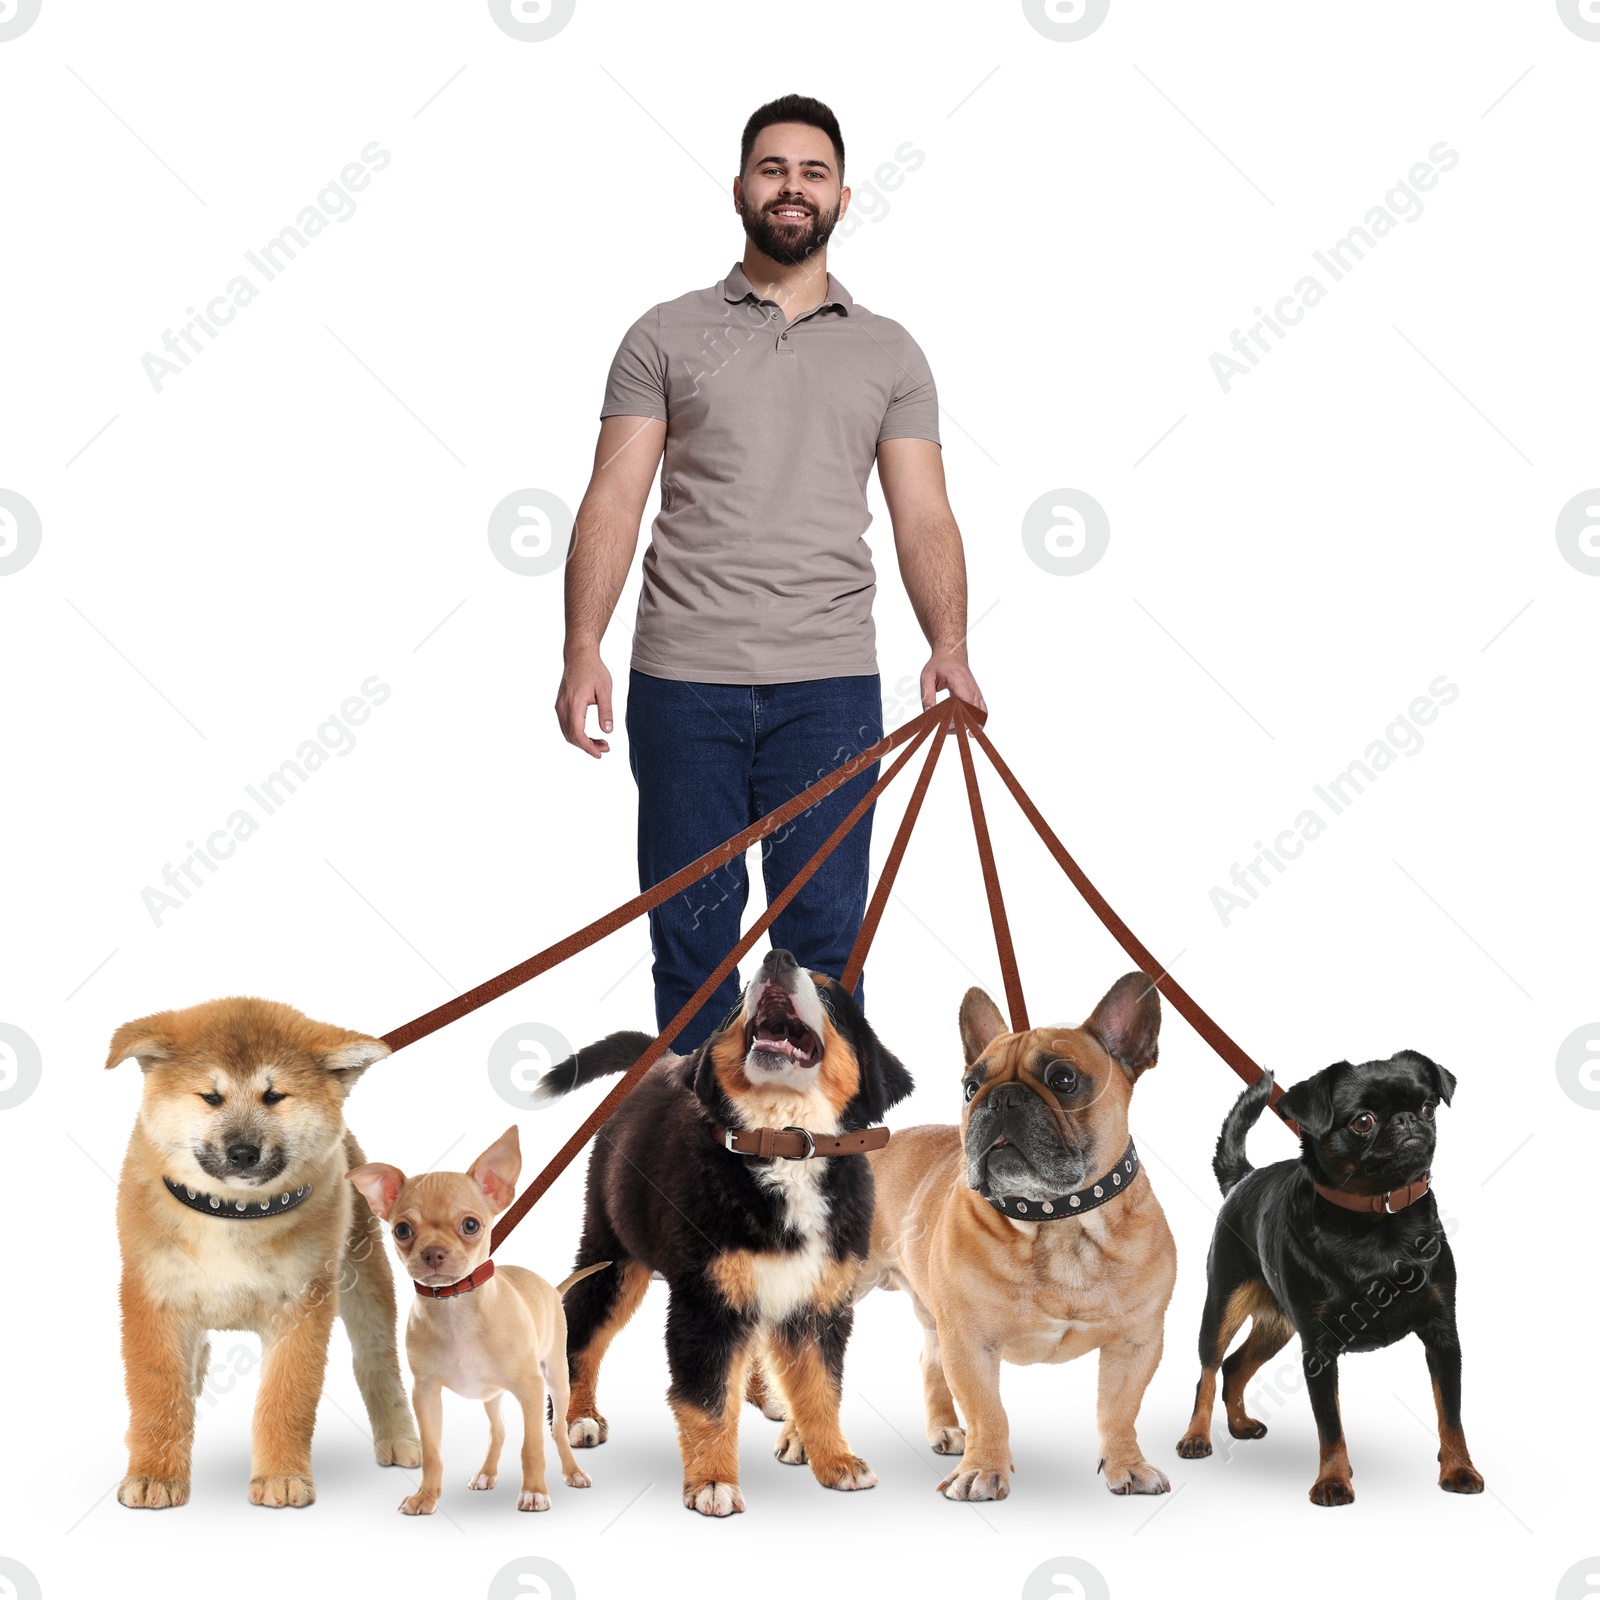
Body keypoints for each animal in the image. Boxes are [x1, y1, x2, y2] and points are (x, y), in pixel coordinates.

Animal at [534, 940, 915, 1516]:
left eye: (826, 992)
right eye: (738, 1001)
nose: (777, 957)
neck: (784, 1142)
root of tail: (658, 1061)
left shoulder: (820, 1301)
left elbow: (821, 1391)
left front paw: (835, 1461)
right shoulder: (706, 1303)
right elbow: (708, 1401)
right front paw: (713, 1481)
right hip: (613, 1252)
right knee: (582, 1335)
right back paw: (578, 1417)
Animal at [1177, 1056, 1484, 1504]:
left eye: (1429, 1109)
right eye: (1362, 1122)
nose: (1409, 1118)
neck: (1376, 1219)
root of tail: (1244, 1178)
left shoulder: (1443, 1335)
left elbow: (1452, 1414)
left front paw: (1459, 1469)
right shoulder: (1319, 1350)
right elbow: (1330, 1424)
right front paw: (1334, 1480)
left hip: (1278, 1325)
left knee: (1234, 1367)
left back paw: (1240, 1424)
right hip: (1222, 1307)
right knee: (1209, 1369)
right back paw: (1197, 1436)